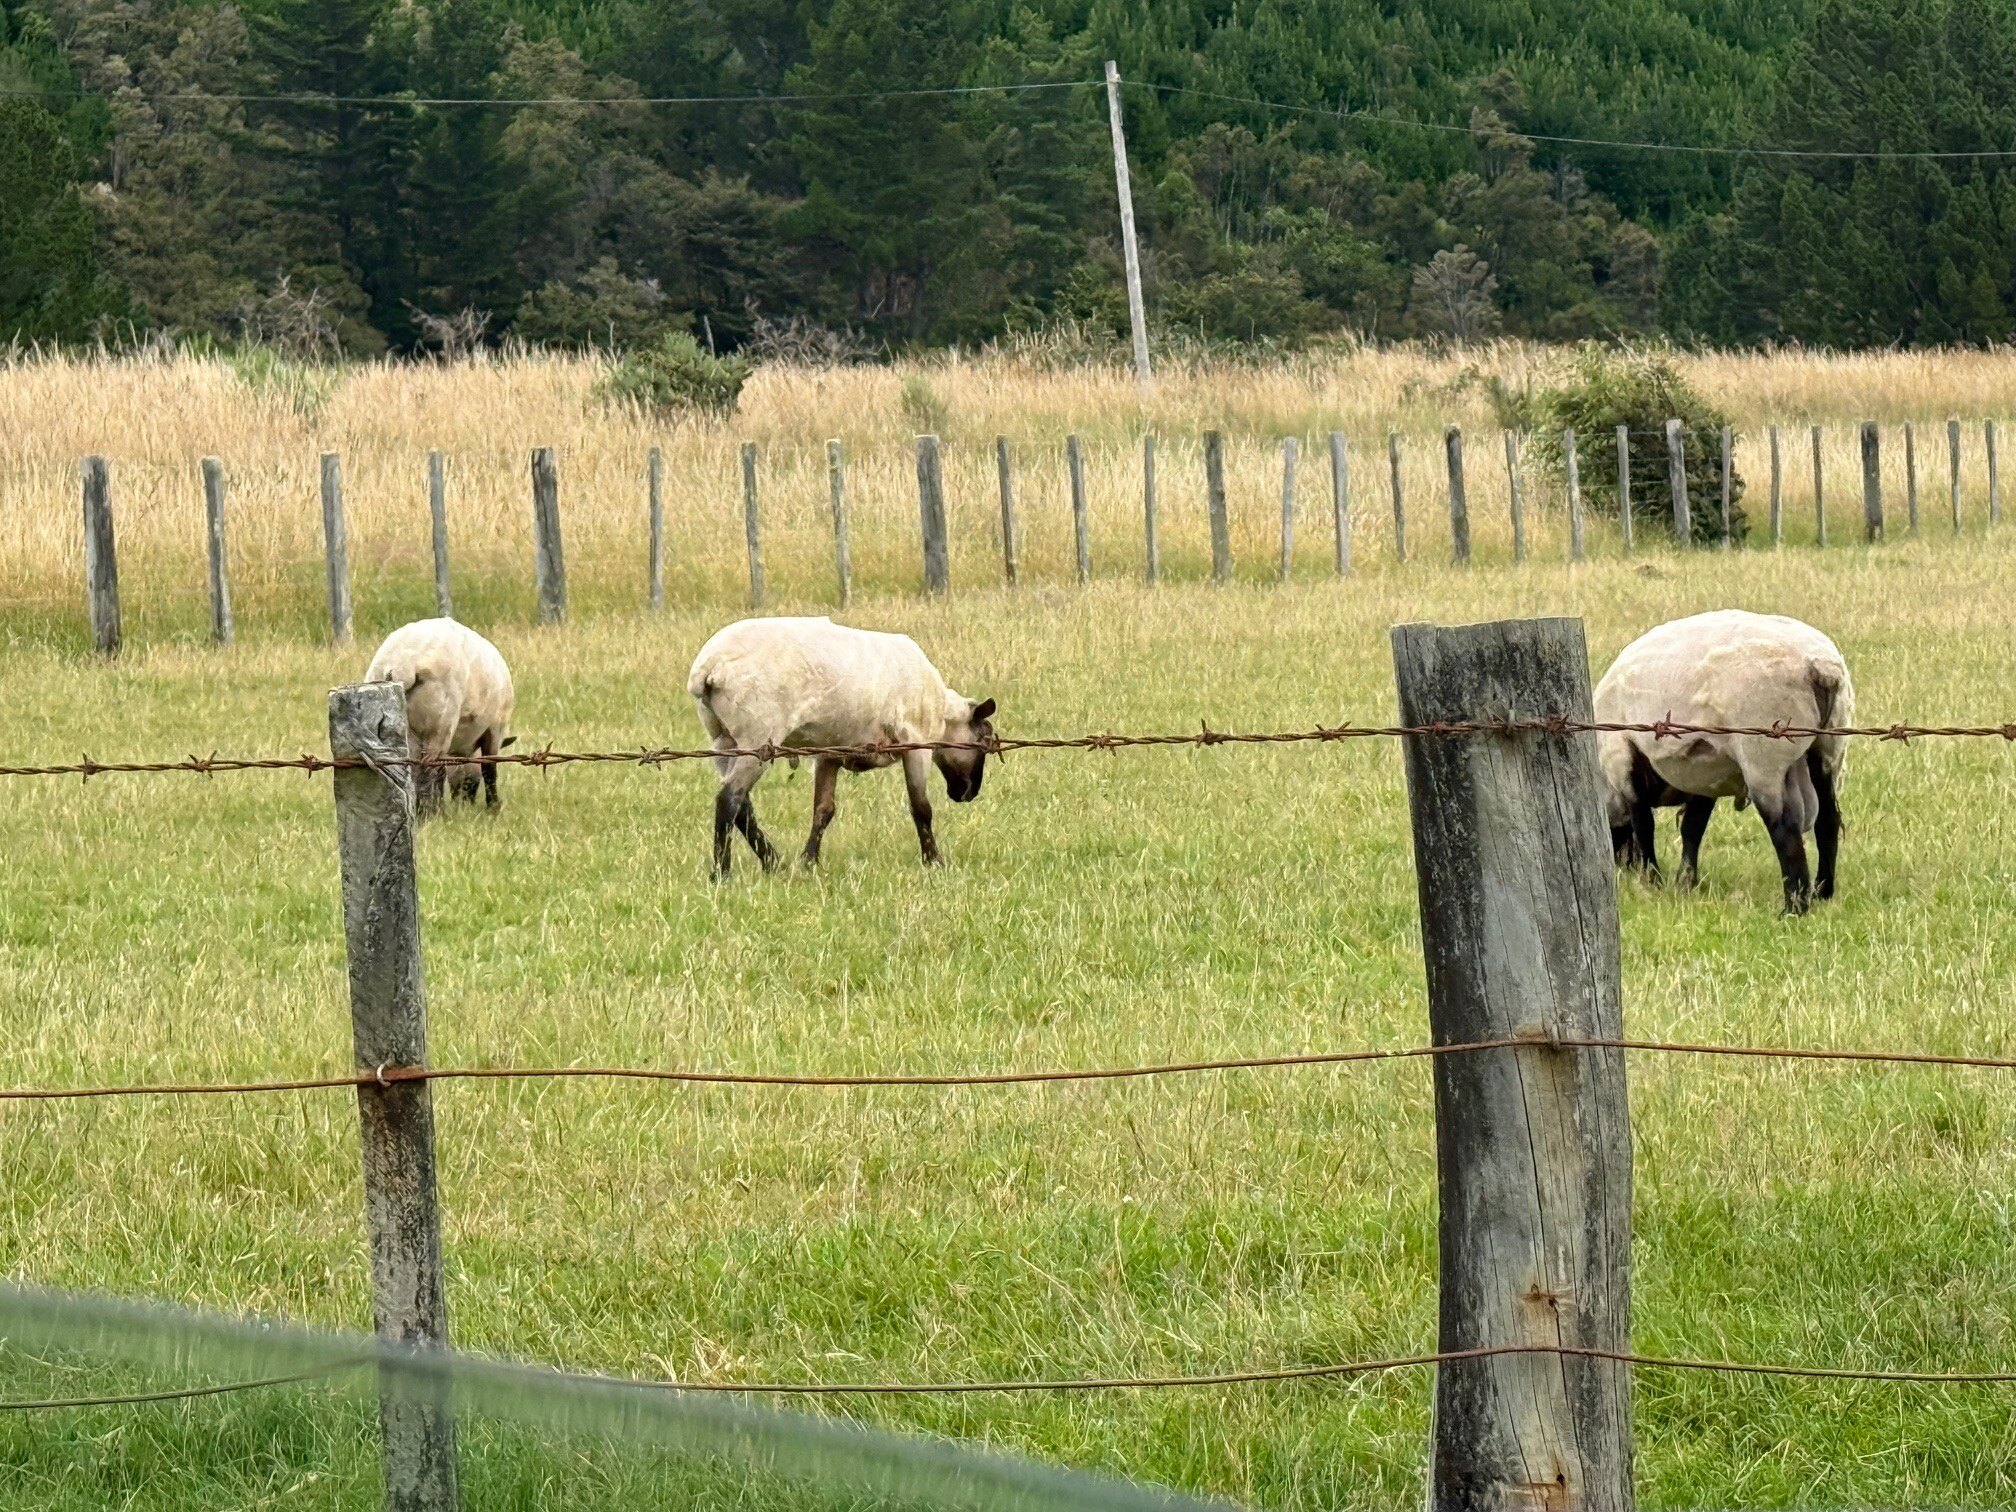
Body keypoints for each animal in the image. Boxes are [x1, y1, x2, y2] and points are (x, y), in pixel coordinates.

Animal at [363, 617, 516, 817]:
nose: (466, 802)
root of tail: (401, 665)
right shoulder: (495, 729)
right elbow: (489, 769)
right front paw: (493, 807)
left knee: (413, 768)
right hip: (439, 722)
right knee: (428, 769)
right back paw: (430, 812)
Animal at [688, 616, 997, 876]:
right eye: (983, 740)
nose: (967, 794)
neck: (942, 712)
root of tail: (709, 667)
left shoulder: (829, 754)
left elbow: (823, 810)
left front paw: (808, 862)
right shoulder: (917, 743)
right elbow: (921, 808)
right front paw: (934, 861)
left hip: (724, 739)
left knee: (742, 806)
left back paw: (774, 863)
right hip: (758, 737)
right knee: (729, 798)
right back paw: (722, 873)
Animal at [1595, 609, 1851, 914]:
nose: (1623, 868)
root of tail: (1819, 668)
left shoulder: (1623, 758)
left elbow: (1644, 824)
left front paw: (1652, 881)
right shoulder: (1704, 775)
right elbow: (1692, 827)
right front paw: (1685, 883)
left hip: (1765, 755)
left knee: (1784, 827)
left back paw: (1793, 907)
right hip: (1828, 749)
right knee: (1828, 819)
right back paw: (1823, 893)